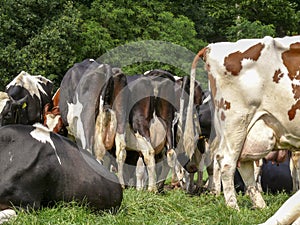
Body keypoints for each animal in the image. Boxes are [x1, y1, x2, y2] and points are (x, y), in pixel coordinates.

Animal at [191, 36, 300, 210]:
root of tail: (212, 47)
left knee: (242, 163)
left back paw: (260, 206)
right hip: (236, 121)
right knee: (226, 161)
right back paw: (233, 207)